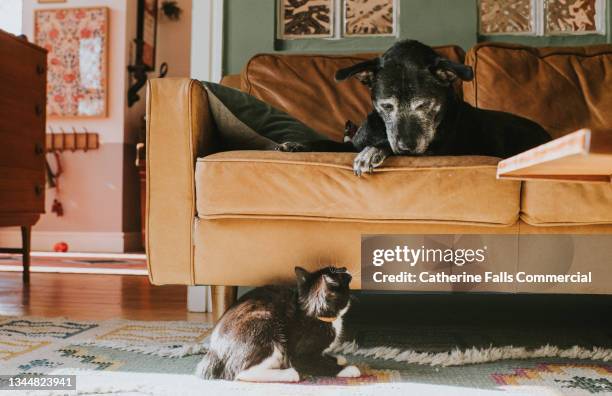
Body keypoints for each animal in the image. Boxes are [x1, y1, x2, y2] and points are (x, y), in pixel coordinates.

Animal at [198, 266, 360, 380]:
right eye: (339, 271)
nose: (345, 267)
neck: (314, 312)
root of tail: (214, 353)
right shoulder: (300, 355)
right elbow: (317, 364)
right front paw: (348, 369)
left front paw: (337, 357)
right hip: (265, 326)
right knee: (240, 372)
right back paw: (289, 374)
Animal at [280, 39, 552, 175]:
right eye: (386, 105)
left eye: (424, 104)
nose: (406, 147)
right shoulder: (351, 143)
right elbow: (328, 144)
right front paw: (297, 145)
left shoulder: (435, 152)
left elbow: (381, 146)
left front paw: (372, 151)